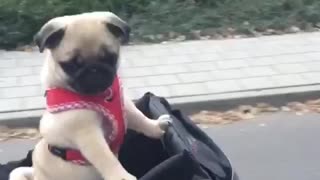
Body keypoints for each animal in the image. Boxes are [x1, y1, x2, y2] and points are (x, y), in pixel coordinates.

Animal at [8, 11, 171, 180]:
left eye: (110, 57)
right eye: (71, 65)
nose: (94, 70)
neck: (101, 96)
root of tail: (35, 174)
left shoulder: (126, 109)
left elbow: (141, 119)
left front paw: (156, 127)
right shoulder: (89, 136)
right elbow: (106, 157)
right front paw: (121, 176)